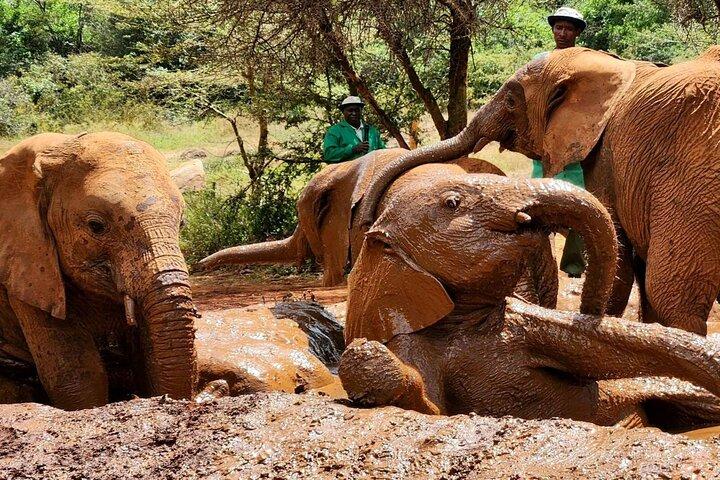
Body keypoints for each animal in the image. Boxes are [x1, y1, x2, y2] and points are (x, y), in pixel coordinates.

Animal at [354, 46, 720, 335]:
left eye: (511, 101)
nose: (366, 223)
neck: (611, 64)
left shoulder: (608, 155)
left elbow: (622, 260)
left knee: (673, 294)